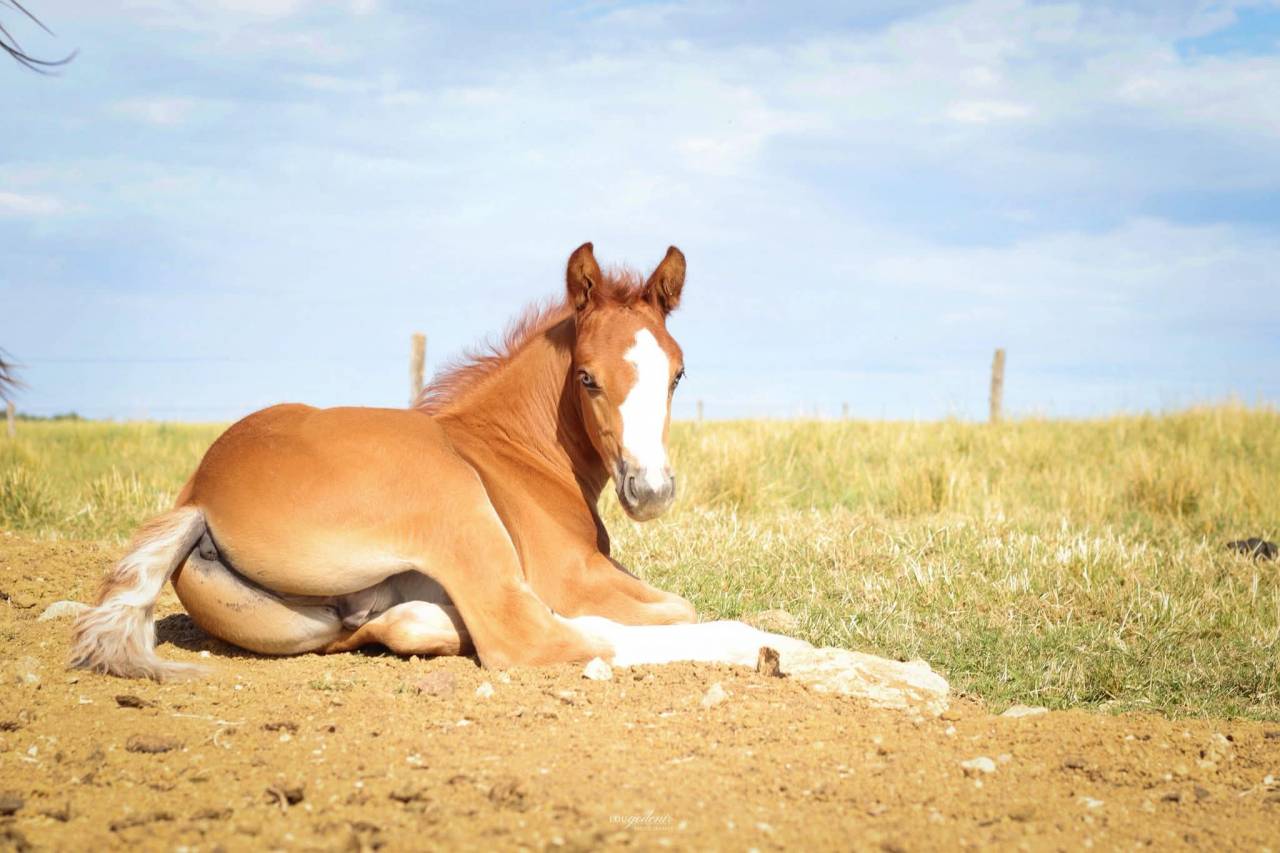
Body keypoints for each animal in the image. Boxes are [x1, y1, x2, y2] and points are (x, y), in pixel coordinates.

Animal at [68, 243, 810, 679]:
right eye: (588, 378)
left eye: (678, 375)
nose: (651, 489)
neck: (517, 451)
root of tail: (199, 493)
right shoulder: (574, 575)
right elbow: (677, 606)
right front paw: (779, 638)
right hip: (457, 510)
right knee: (533, 637)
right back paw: (764, 651)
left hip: (318, 626)